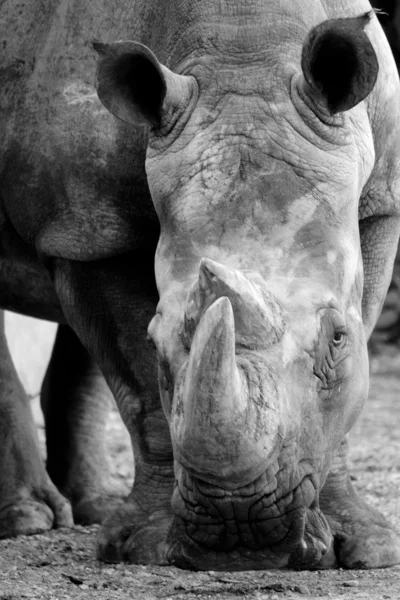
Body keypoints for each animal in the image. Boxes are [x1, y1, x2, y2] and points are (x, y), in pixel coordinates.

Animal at [0, 0, 400, 572]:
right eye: (156, 342)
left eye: (337, 338)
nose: (242, 531)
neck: (246, 51)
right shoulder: (85, 225)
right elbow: (141, 390)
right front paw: (146, 546)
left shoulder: (379, 201)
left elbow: (350, 380)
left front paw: (366, 546)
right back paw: (28, 521)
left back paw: (92, 508)